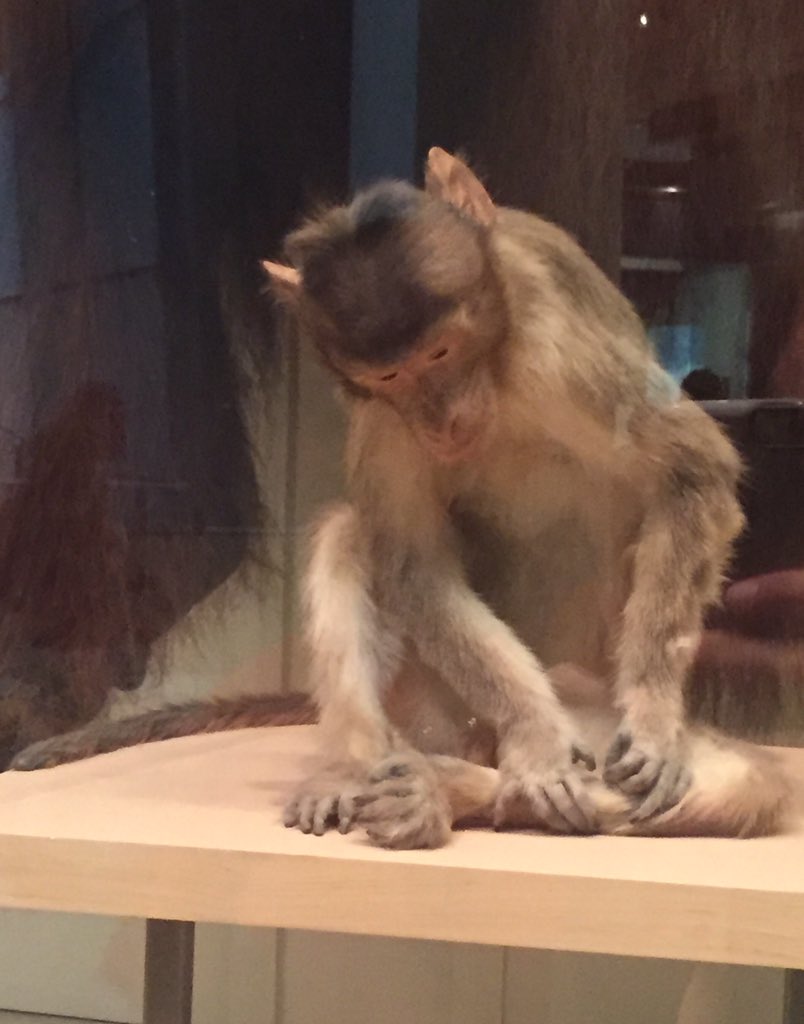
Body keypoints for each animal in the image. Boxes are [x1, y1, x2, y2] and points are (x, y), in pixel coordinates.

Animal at [10, 148, 792, 848]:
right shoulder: (384, 417)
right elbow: (412, 564)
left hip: (586, 700)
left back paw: (447, 789)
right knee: (352, 538)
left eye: (439, 356)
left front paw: (654, 718)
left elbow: (691, 471)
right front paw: (535, 738)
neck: (496, 373)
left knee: (749, 783)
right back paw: (383, 774)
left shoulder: (560, 344)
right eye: (391, 377)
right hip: (427, 703)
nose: (439, 419)